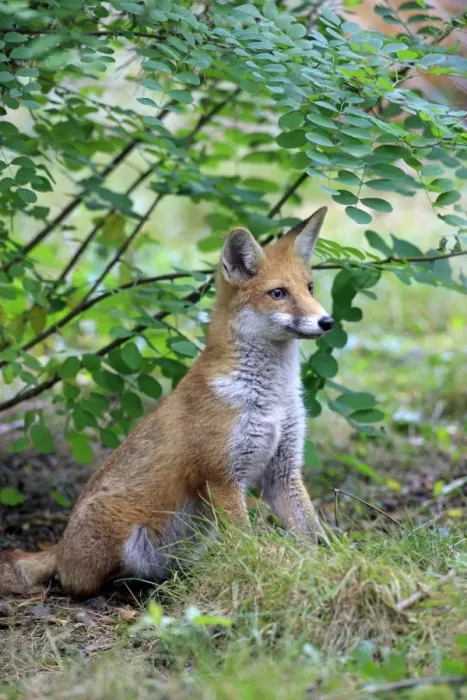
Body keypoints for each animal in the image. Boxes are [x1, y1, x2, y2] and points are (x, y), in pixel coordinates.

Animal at [0, 206, 335, 598]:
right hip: (124, 536)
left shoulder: (283, 471)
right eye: (278, 293)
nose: (327, 321)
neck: (273, 400)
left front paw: (322, 572)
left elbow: (312, 535)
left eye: (309, 287)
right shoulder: (222, 478)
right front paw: (261, 572)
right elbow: (244, 541)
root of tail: (59, 546)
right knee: (80, 583)